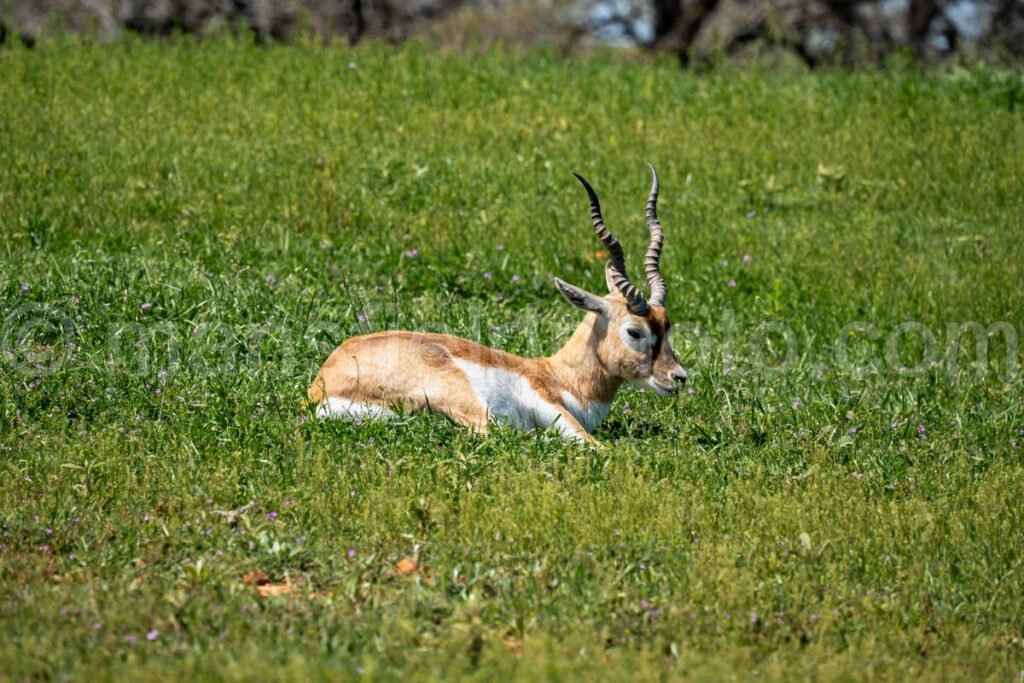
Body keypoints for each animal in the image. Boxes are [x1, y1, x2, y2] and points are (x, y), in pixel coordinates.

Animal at [305, 162, 688, 446]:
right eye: (634, 331)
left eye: (668, 326)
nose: (679, 377)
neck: (560, 376)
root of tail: (323, 382)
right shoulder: (548, 405)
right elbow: (593, 445)